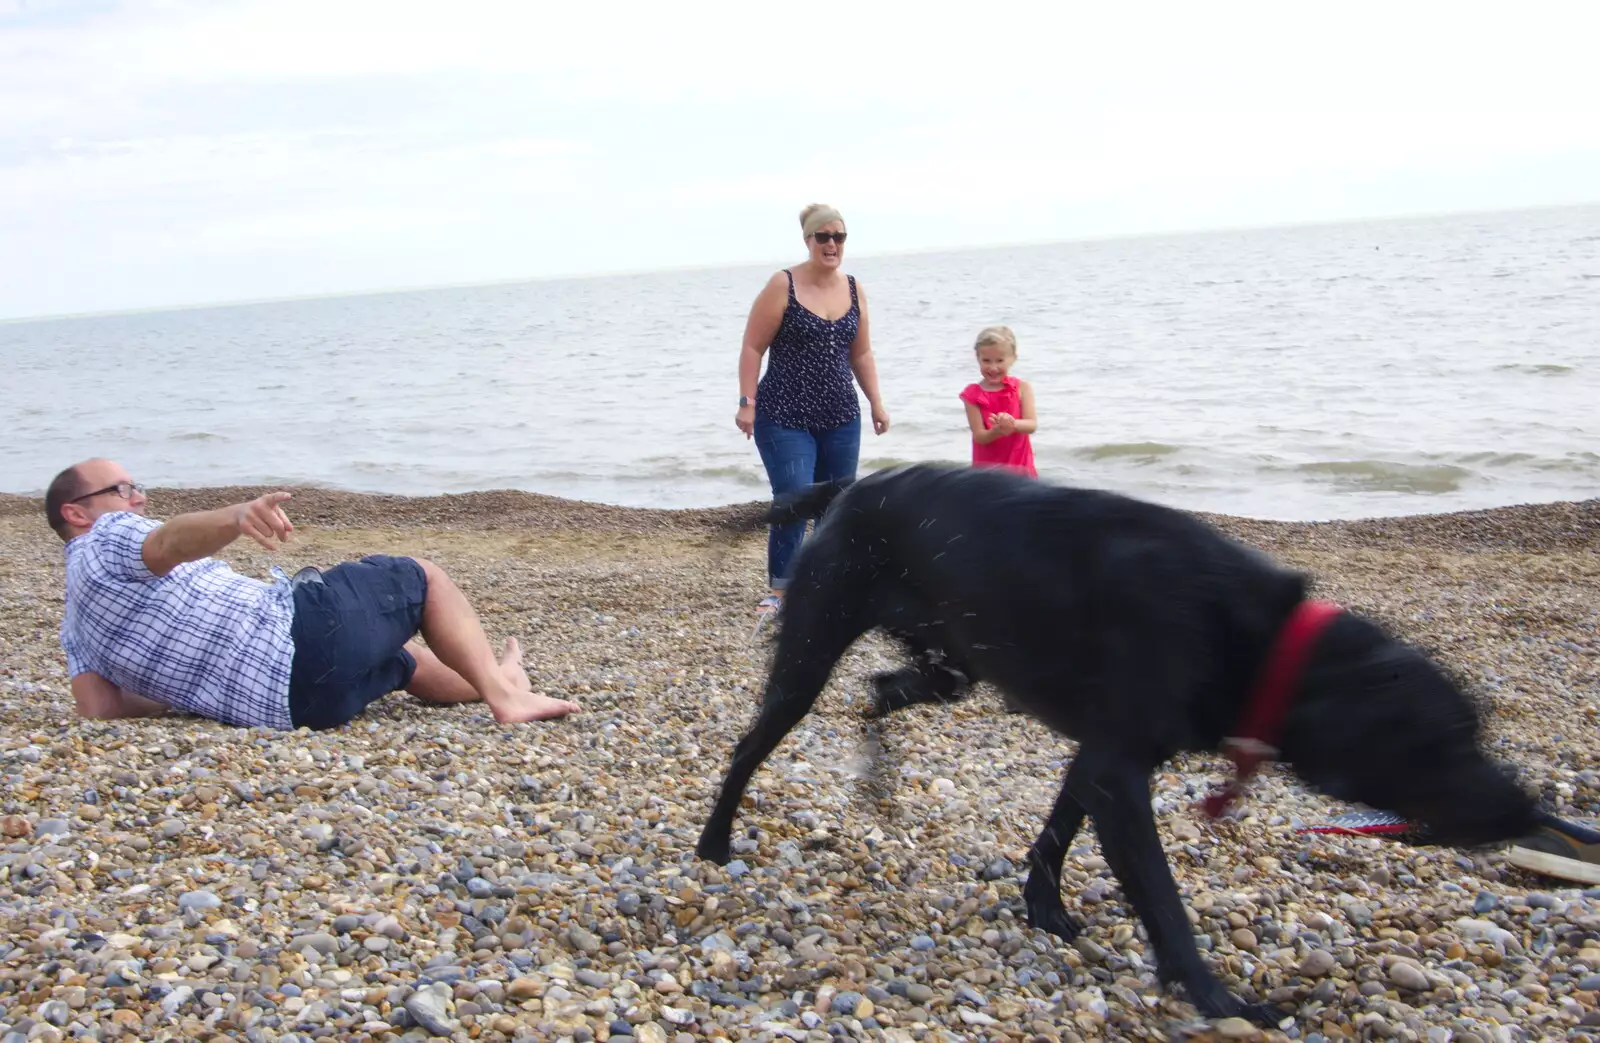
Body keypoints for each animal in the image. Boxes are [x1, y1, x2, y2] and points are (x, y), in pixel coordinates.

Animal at [694, 463, 1542, 1017]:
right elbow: (1164, 900)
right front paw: (1216, 995)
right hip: (809, 655)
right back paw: (714, 842)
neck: (1262, 639)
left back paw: (877, 768)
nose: (1528, 809)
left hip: (950, 665)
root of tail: (850, 488)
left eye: (1475, 730)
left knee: (882, 690)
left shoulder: (1103, 753)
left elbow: (1056, 831)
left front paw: (1042, 906)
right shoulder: (1122, 771)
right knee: (747, 747)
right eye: (1442, 741)